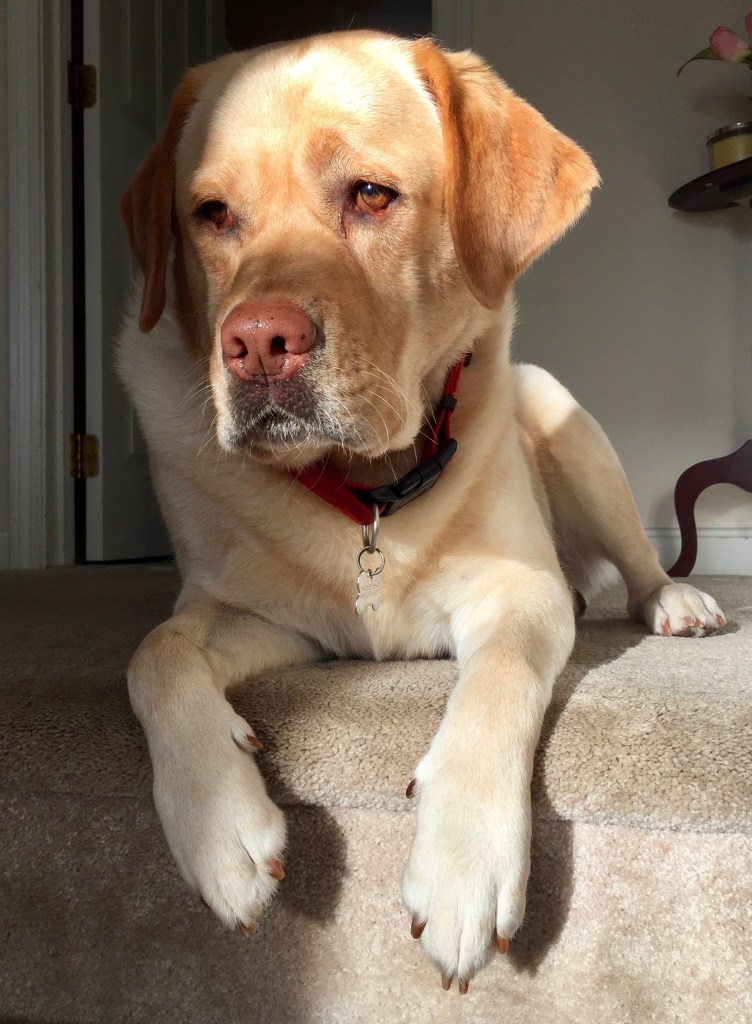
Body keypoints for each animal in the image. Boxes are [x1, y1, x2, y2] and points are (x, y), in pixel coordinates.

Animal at [117, 30, 726, 992]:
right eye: (211, 214)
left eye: (370, 194)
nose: (254, 345)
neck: (364, 490)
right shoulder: (263, 617)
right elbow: (155, 654)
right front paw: (218, 826)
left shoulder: (519, 591)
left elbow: (499, 679)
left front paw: (464, 864)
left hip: (565, 420)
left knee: (635, 562)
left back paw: (676, 601)